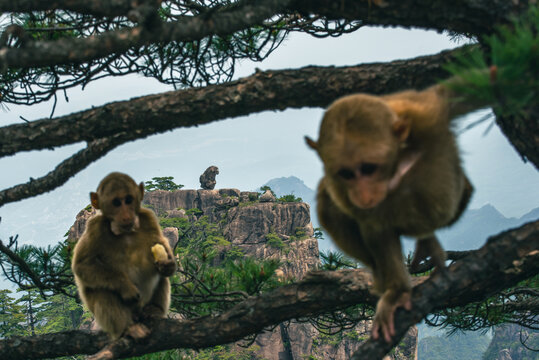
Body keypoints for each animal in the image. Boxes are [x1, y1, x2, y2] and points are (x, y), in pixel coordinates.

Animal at [71, 173, 176, 338]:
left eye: (128, 200)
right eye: (116, 203)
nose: (126, 216)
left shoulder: (148, 217)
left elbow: (159, 241)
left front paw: (169, 265)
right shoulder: (95, 227)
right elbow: (83, 265)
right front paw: (127, 288)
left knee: (160, 276)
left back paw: (155, 310)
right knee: (102, 290)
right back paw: (128, 328)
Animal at [306, 81, 478, 344]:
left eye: (369, 168)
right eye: (346, 173)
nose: (364, 195)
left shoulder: (429, 113)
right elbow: (374, 226)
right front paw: (397, 291)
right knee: (332, 205)